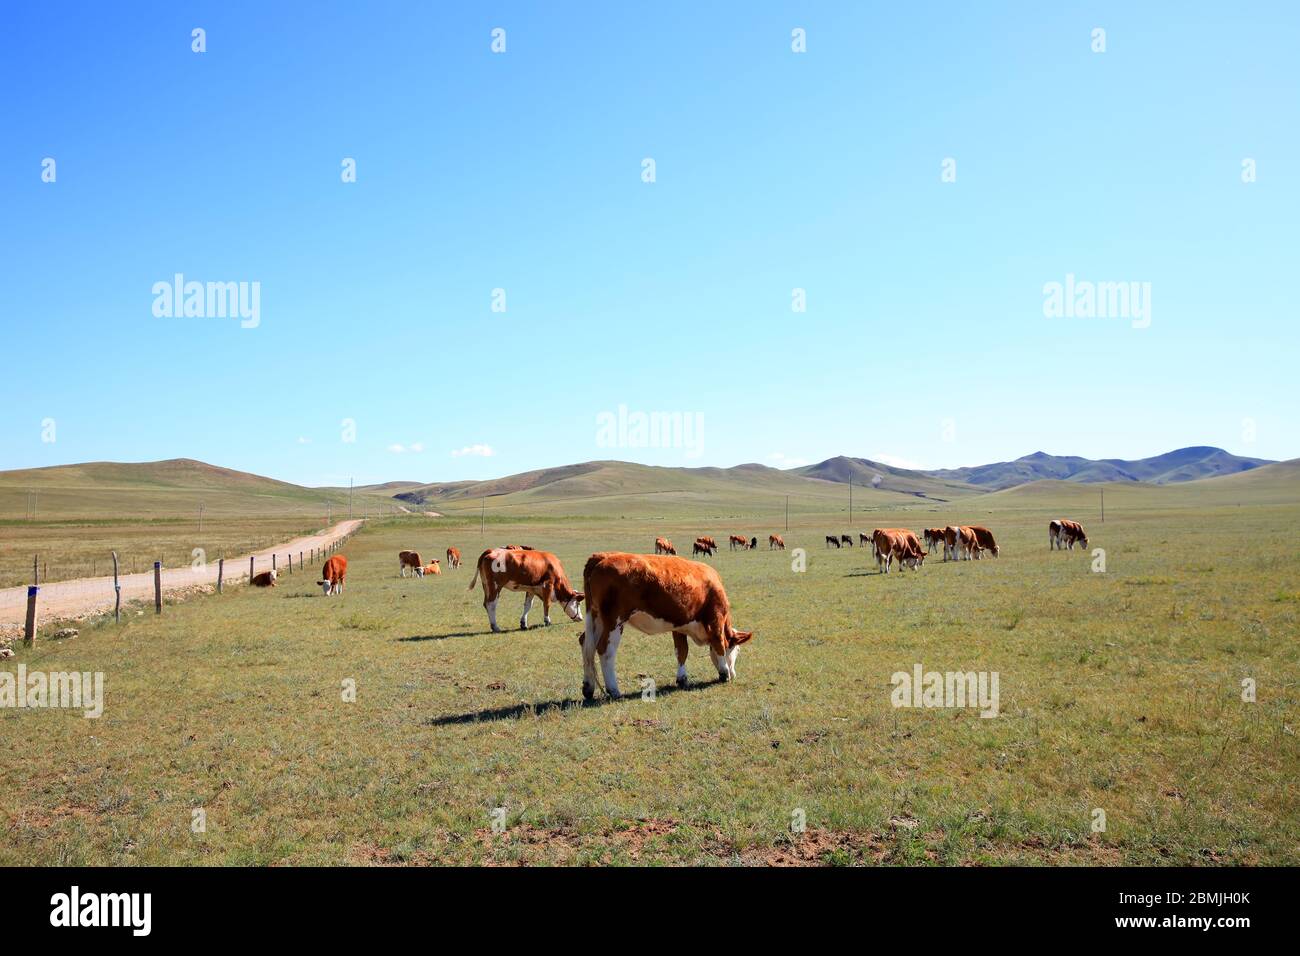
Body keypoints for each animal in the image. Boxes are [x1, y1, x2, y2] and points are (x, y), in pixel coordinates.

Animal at [579, 552, 754, 700]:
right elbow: (719, 645)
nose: (734, 674)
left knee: (586, 644)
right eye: (736, 650)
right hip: (614, 622)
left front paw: (682, 679)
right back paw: (614, 690)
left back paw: (588, 688)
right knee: (605, 650)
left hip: (596, 618)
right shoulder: (716, 620)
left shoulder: (679, 626)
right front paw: (724, 673)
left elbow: (682, 651)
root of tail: (603, 556)